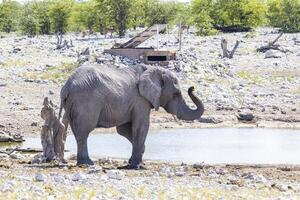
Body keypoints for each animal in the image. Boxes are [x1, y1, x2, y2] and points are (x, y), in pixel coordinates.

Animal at [58, 63, 204, 169]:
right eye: (176, 94)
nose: (192, 88)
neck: (151, 69)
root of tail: (66, 87)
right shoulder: (140, 100)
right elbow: (141, 126)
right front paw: (137, 165)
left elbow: (123, 130)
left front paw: (133, 161)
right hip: (86, 102)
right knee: (84, 131)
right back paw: (87, 163)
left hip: (74, 104)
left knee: (77, 131)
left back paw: (83, 163)